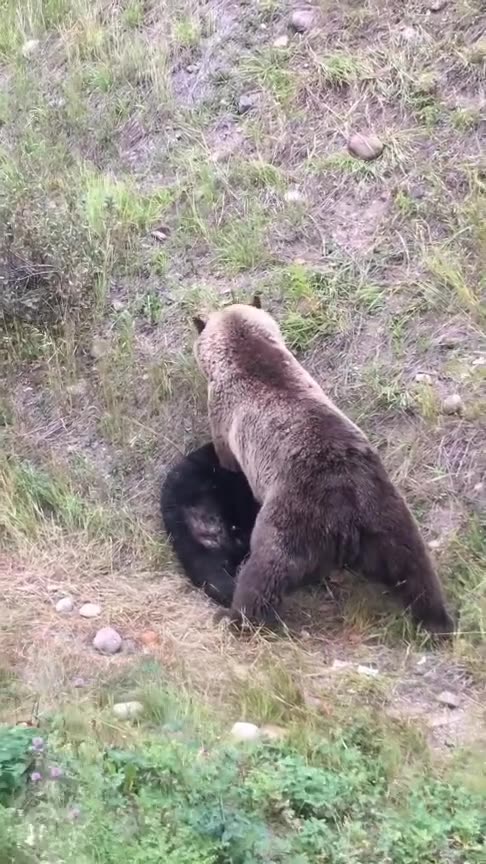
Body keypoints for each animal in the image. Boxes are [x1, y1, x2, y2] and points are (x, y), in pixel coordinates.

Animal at [192, 296, 454, 635]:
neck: (245, 347)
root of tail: (347, 515)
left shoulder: (224, 414)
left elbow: (227, 458)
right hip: (386, 513)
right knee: (414, 568)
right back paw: (438, 620)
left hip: (293, 517)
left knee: (265, 570)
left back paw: (235, 617)